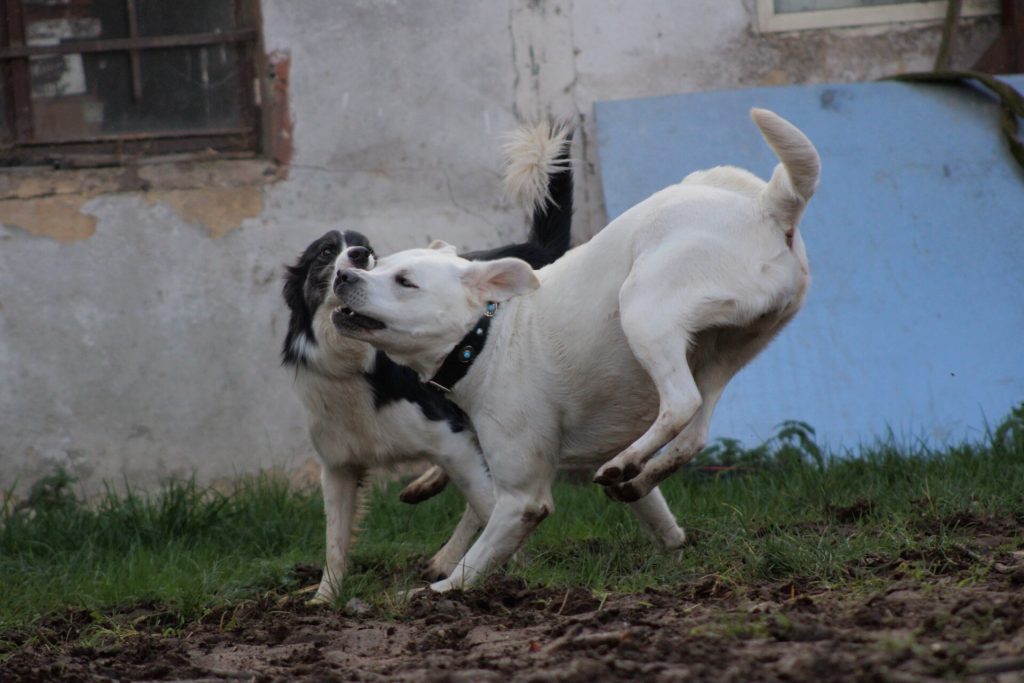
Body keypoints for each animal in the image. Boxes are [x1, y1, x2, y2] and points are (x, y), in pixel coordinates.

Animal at [280, 124, 581, 602]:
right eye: (326, 253)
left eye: (366, 249)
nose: (356, 259)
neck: (358, 367)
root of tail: (532, 248)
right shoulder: (339, 466)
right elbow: (335, 542)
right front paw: (323, 598)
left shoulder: (451, 440)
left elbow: (492, 507)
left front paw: (510, 573)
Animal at [331, 109, 819, 589]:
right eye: (378, 264)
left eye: (405, 282)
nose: (344, 275)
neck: (485, 336)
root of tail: (767, 207)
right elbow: (660, 520)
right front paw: (672, 550)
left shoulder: (523, 497)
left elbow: (475, 560)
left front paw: (435, 591)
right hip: (726, 349)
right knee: (693, 432)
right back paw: (635, 476)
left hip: (644, 309)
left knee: (681, 402)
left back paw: (627, 463)